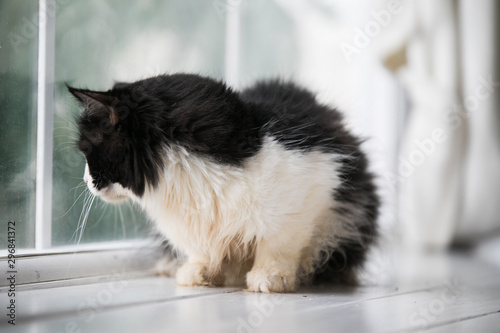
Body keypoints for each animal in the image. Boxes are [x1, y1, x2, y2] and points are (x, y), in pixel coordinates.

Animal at [67, 74, 378, 292]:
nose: (84, 180)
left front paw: (270, 279)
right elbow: (201, 251)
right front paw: (197, 273)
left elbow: (278, 245)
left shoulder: (314, 184)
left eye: (87, 152)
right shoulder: (190, 225)